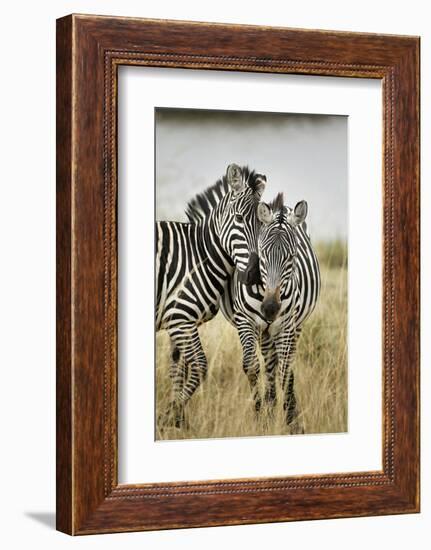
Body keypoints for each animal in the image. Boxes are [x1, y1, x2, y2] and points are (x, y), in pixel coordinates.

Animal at [157, 163, 268, 426]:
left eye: (262, 224)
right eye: (239, 218)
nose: (255, 276)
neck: (199, 254)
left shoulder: (178, 321)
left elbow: (178, 367)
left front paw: (178, 421)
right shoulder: (181, 319)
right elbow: (198, 366)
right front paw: (170, 417)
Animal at [223, 194, 320, 436]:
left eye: (292, 257)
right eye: (262, 254)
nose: (269, 308)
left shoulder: (286, 325)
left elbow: (285, 371)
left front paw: (292, 421)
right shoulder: (246, 321)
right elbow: (251, 367)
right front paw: (260, 418)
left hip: (295, 326)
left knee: (284, 364)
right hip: (264, 331)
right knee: (268, 364)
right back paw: (270, 405)